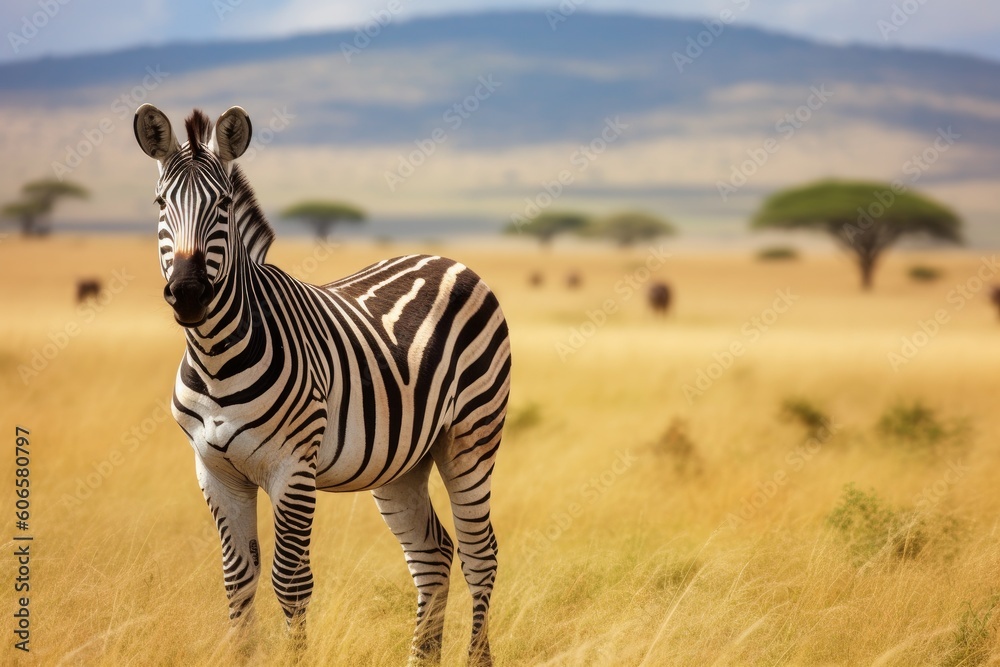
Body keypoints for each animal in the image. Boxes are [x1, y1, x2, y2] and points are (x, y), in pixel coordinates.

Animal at [133, 104, 510, 666]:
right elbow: (237, 581)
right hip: (402, 463)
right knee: (433, 554)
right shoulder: (214, 471)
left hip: (471, 436)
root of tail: (447, 259)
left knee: (479, 554)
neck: (216, 355)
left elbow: (290, 583)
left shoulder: (293, 468)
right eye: (161, 203)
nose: (188, 293)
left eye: (223, 205)